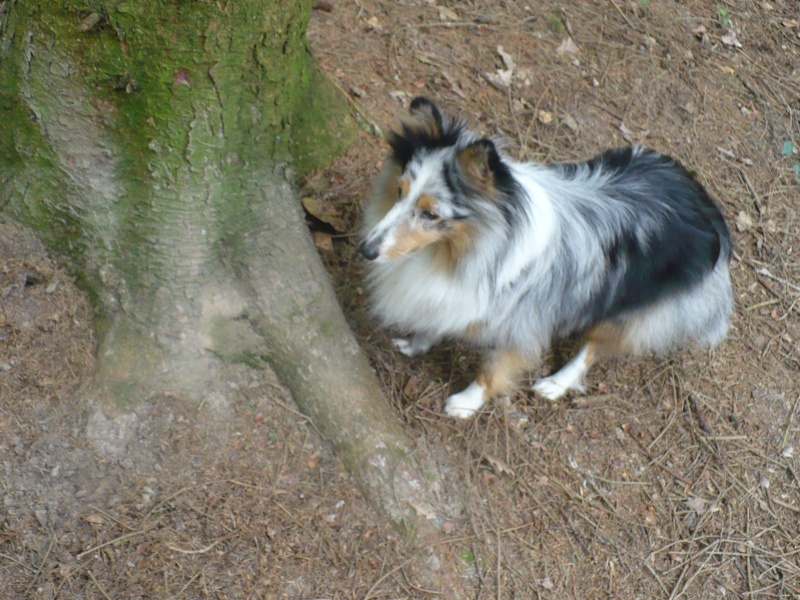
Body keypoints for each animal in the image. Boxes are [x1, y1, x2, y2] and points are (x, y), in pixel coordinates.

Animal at [360, 97, 736, 418]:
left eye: (430, 214)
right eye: (399, 192)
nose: (366, 250)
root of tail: (706, 205)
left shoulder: (522, 322)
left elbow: (493, 369)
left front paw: (466, 403)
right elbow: (438, 318)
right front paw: (416, 343)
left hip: (631, 303)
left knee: (593, 347)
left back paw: (556, 382)